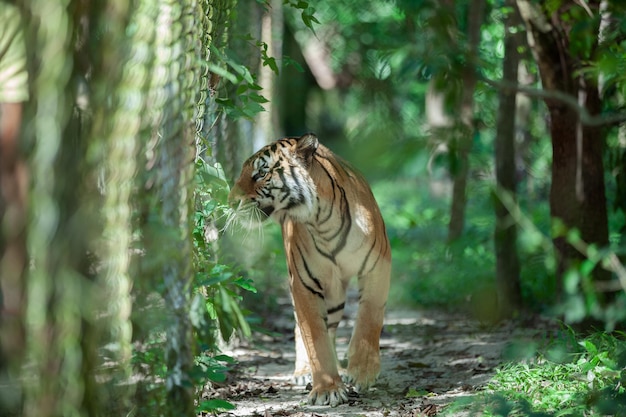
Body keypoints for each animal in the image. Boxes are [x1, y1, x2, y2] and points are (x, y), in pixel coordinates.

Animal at [227, 132, 388, 404]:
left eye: (261, 173)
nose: (230, 202)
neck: (323, 221)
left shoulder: (377, 266)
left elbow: (369, 319)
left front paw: (362, 372)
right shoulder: (303, 283)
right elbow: (314, 337)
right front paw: (327, 389)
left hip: (334, 296)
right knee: (302, 327)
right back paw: (304, 373)